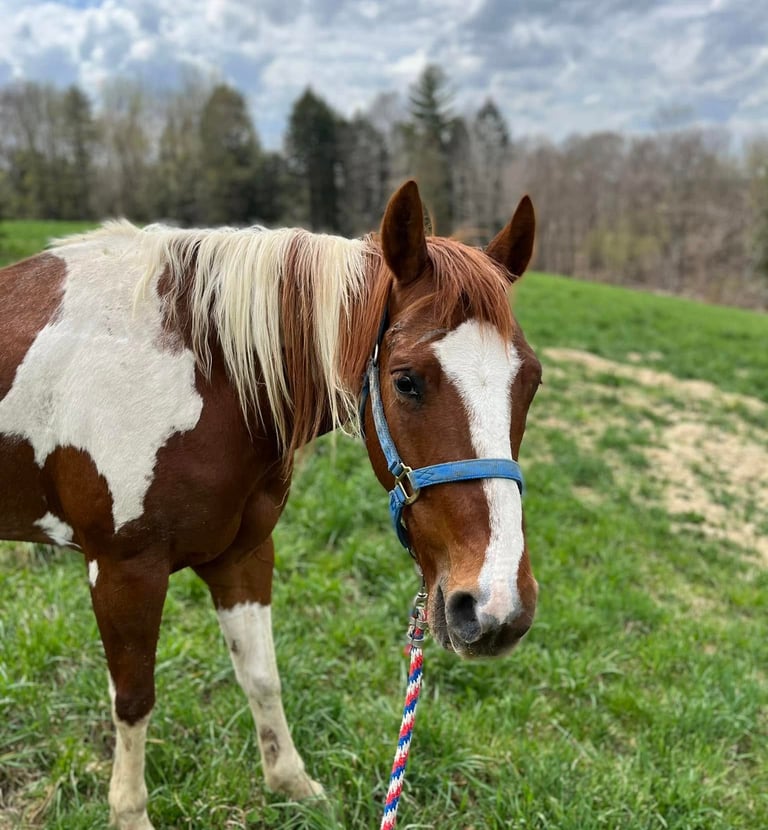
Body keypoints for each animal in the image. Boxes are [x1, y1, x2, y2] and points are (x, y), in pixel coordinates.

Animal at [0, 180, 541, 829]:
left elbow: (261, 677)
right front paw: (129, 813)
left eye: (532, 381)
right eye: (406, 380)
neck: (204, 375)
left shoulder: (243, 557)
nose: (494, 608)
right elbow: (133, 700)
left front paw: (290, 781)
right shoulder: (122, 571)